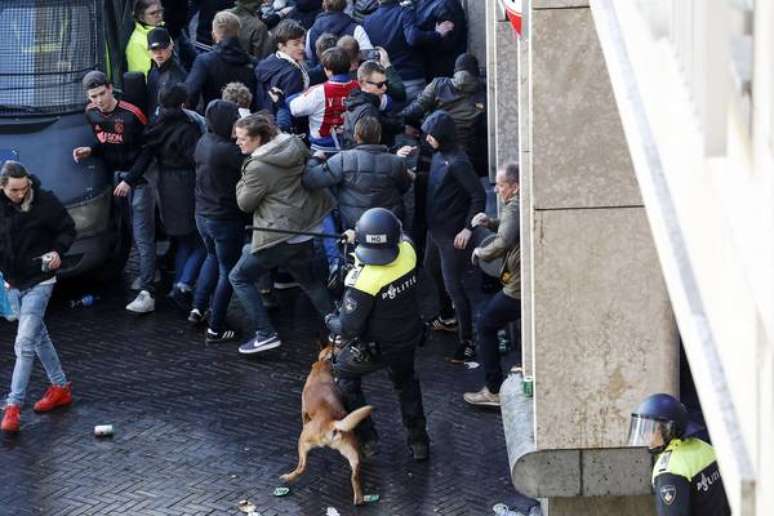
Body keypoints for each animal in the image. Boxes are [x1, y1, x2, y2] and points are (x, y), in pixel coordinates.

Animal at [282, 344, 376, 506]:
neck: (324, 366)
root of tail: (331, 423)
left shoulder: (303, 410)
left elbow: (304, 418)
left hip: (302, 440)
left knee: (301, 467)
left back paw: (288, 477)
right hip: (352, 454)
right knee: (355, 476)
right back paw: (359, 498)